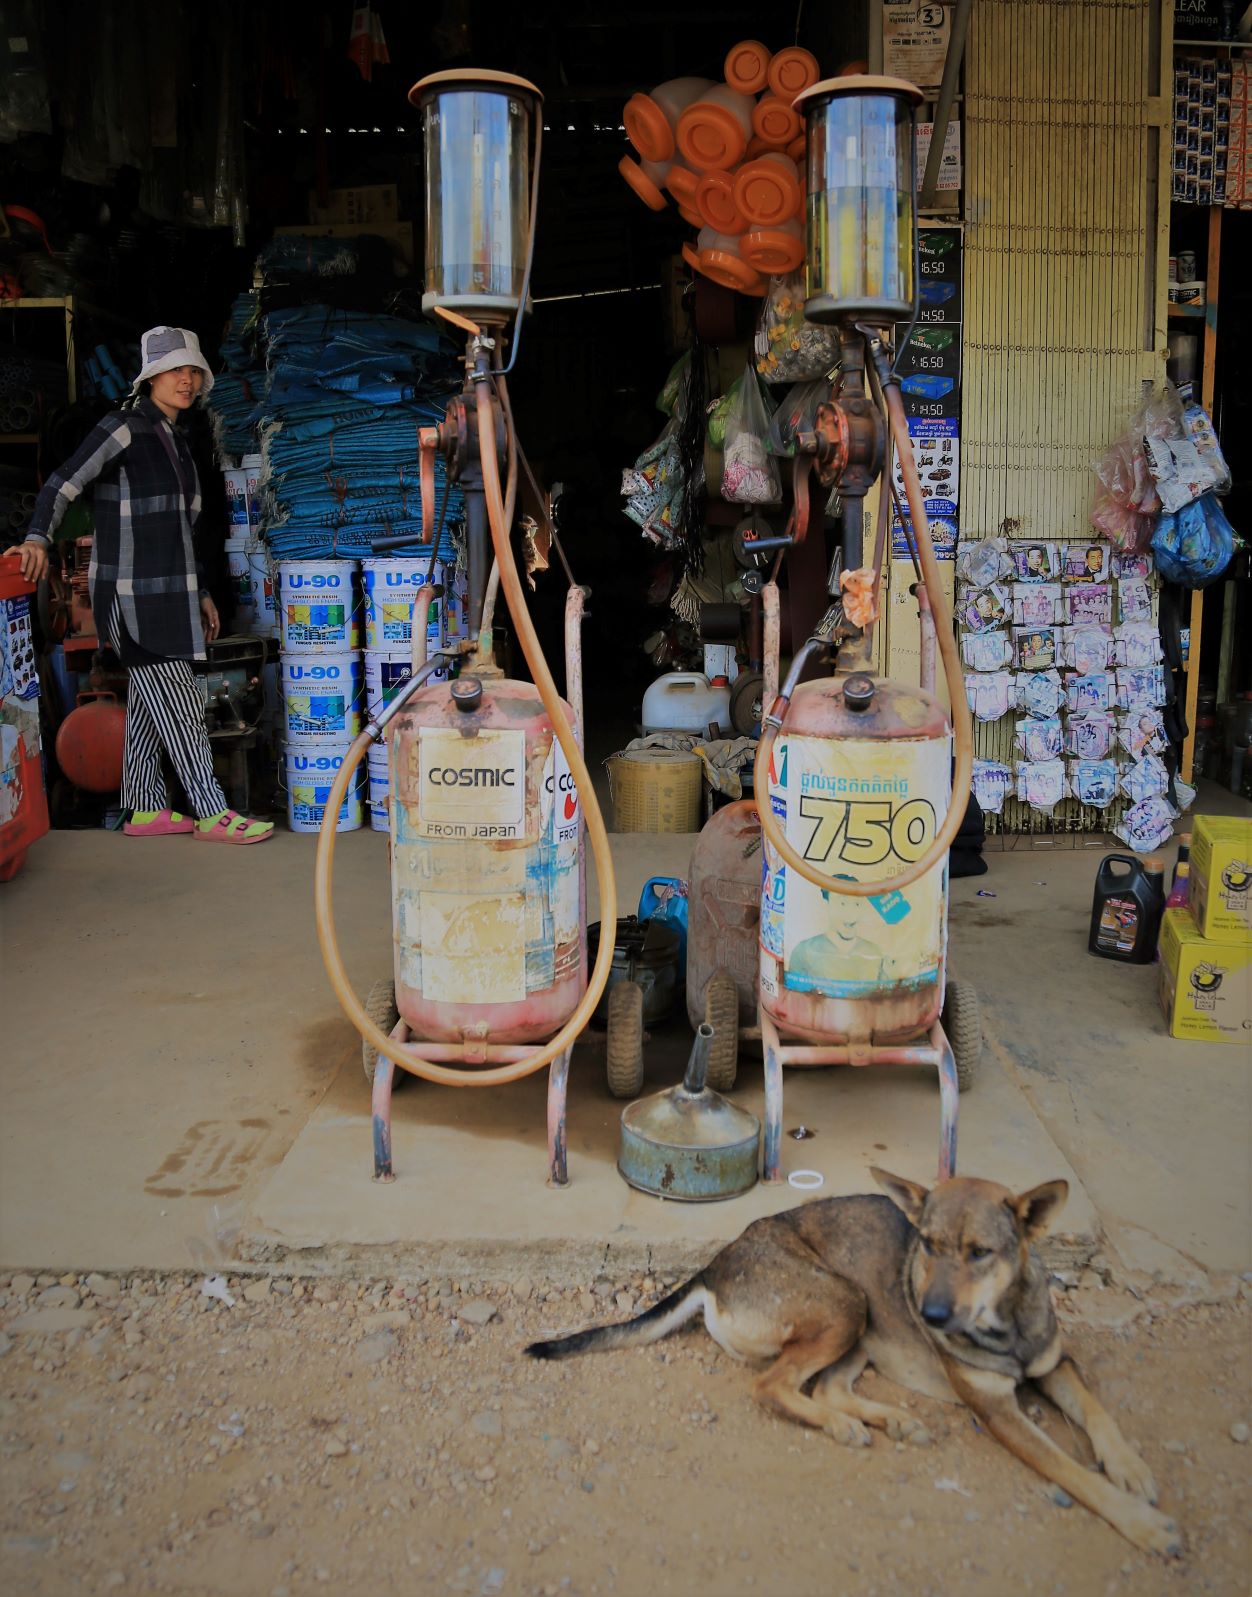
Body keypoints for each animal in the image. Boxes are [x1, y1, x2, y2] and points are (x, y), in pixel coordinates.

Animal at [526, 1169, 1181, 1557]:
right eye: (928, 1246)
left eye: (980, 1253)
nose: (931, 1315)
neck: (1006, 1319)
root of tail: (715, 1265)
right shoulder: (998, 1411)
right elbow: (1073, 1473)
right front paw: (1142, 1524)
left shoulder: (1055, 1364)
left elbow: (1097, 1412)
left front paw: (1130, 1468)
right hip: (846, 1304)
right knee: (773, 1386)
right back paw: (847, 1425)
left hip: (864, 1328)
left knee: (823, 1388)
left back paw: (890, 1419)